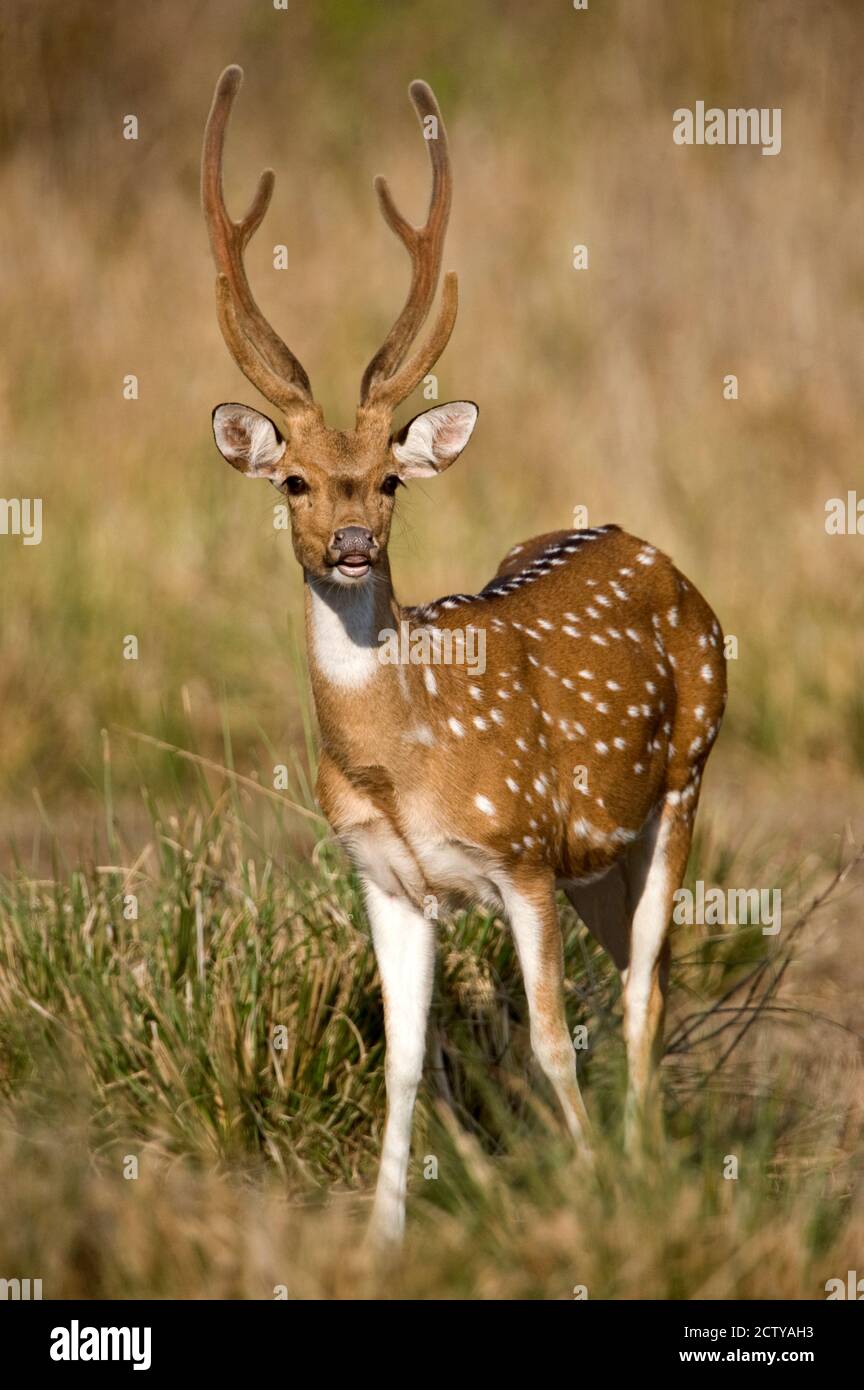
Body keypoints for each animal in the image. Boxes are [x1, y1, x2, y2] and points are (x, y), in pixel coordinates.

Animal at [202, 65, 733, 1245]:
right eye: (294, 479)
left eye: (391, 480)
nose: (353, 543)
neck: (402, 755)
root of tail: (652, 549)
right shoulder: (384, 878)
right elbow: (408, 1062)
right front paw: (382, 1236)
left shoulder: (522, 851)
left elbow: (544, 1041)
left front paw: (591, 1199)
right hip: (601, 855)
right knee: (638, 970)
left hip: (683, 778)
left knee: (645, 986)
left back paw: (642, 1167)